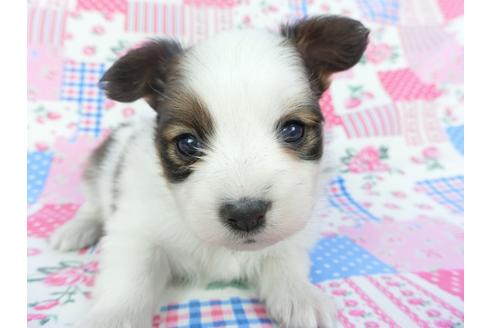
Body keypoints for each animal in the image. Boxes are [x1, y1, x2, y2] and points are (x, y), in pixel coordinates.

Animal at [51, 16, 368, 328]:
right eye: (188, 143)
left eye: (293, 130)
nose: (246, 215)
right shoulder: (136, 229)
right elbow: (130, 277)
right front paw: (113, 316)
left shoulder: (294, 224)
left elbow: (285, 257)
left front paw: (300, 295)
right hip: (100, 170)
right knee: (92, 206)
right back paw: (75, 230)